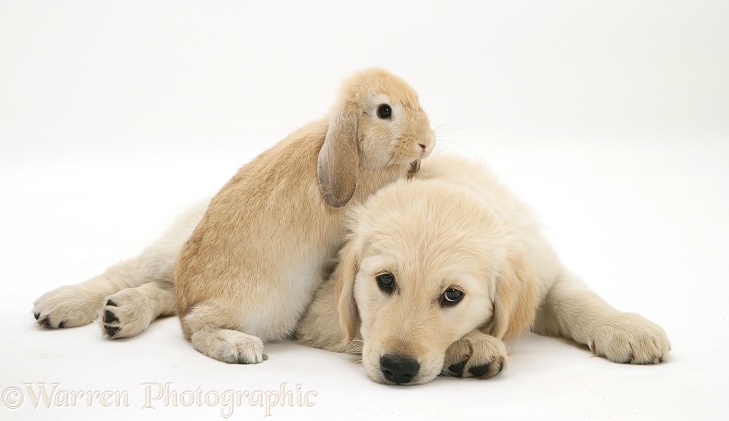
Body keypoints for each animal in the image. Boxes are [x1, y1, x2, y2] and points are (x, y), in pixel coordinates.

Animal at [298, 153, 672, 384]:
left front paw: (623, 326)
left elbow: (573, 296)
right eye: (386, 280)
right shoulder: (321, 314)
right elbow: (358, 331)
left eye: (453, 295)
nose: (397, 368)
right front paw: (470, 345)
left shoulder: (541, 263)